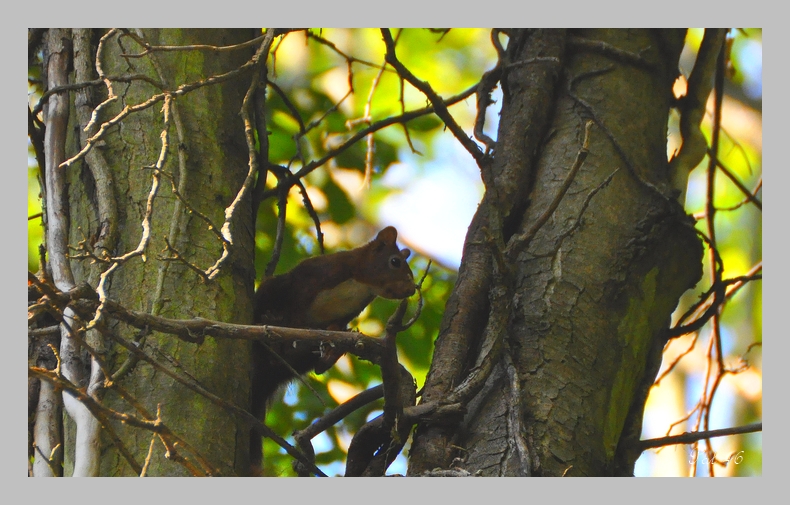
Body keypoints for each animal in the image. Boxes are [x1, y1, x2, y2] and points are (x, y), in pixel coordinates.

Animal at [251, 226, 418, 474]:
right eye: (395, 261)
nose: (411, 289)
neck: (361, 284)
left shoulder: (347, 314)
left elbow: (336, 327)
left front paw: (334, 343)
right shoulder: (313, 278)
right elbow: (297, 308)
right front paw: (285, 322)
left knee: (317, 367)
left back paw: (329, 355)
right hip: (273, 289)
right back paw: (270, 322)